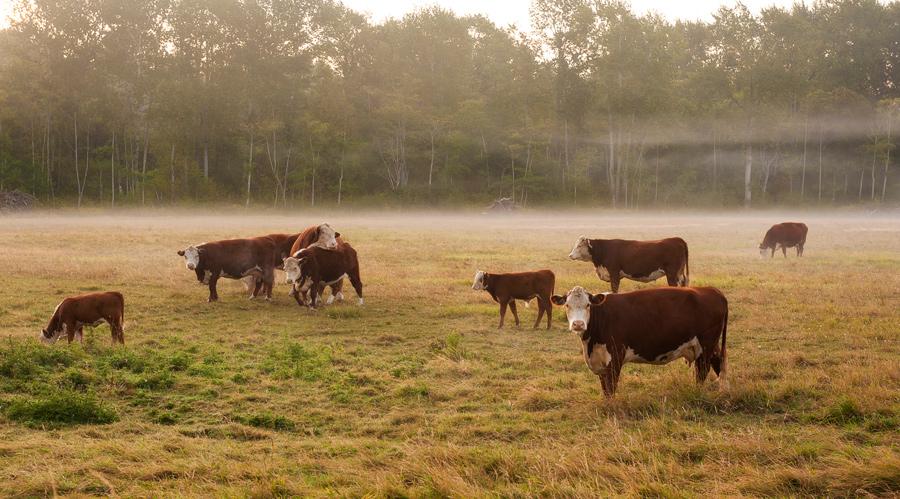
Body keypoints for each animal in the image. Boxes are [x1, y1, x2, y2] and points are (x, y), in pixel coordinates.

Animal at [548, 286, 732, 398]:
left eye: (588, 305)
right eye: (567, 305)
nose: (578, 324)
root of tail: (712, 290)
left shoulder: (615, 357)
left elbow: (611, 388)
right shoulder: (600, 361)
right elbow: (604, 388)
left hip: (706, 345)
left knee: (702, 371)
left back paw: (697, 393)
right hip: (711, 345)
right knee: (718, 363)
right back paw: (723, 392)